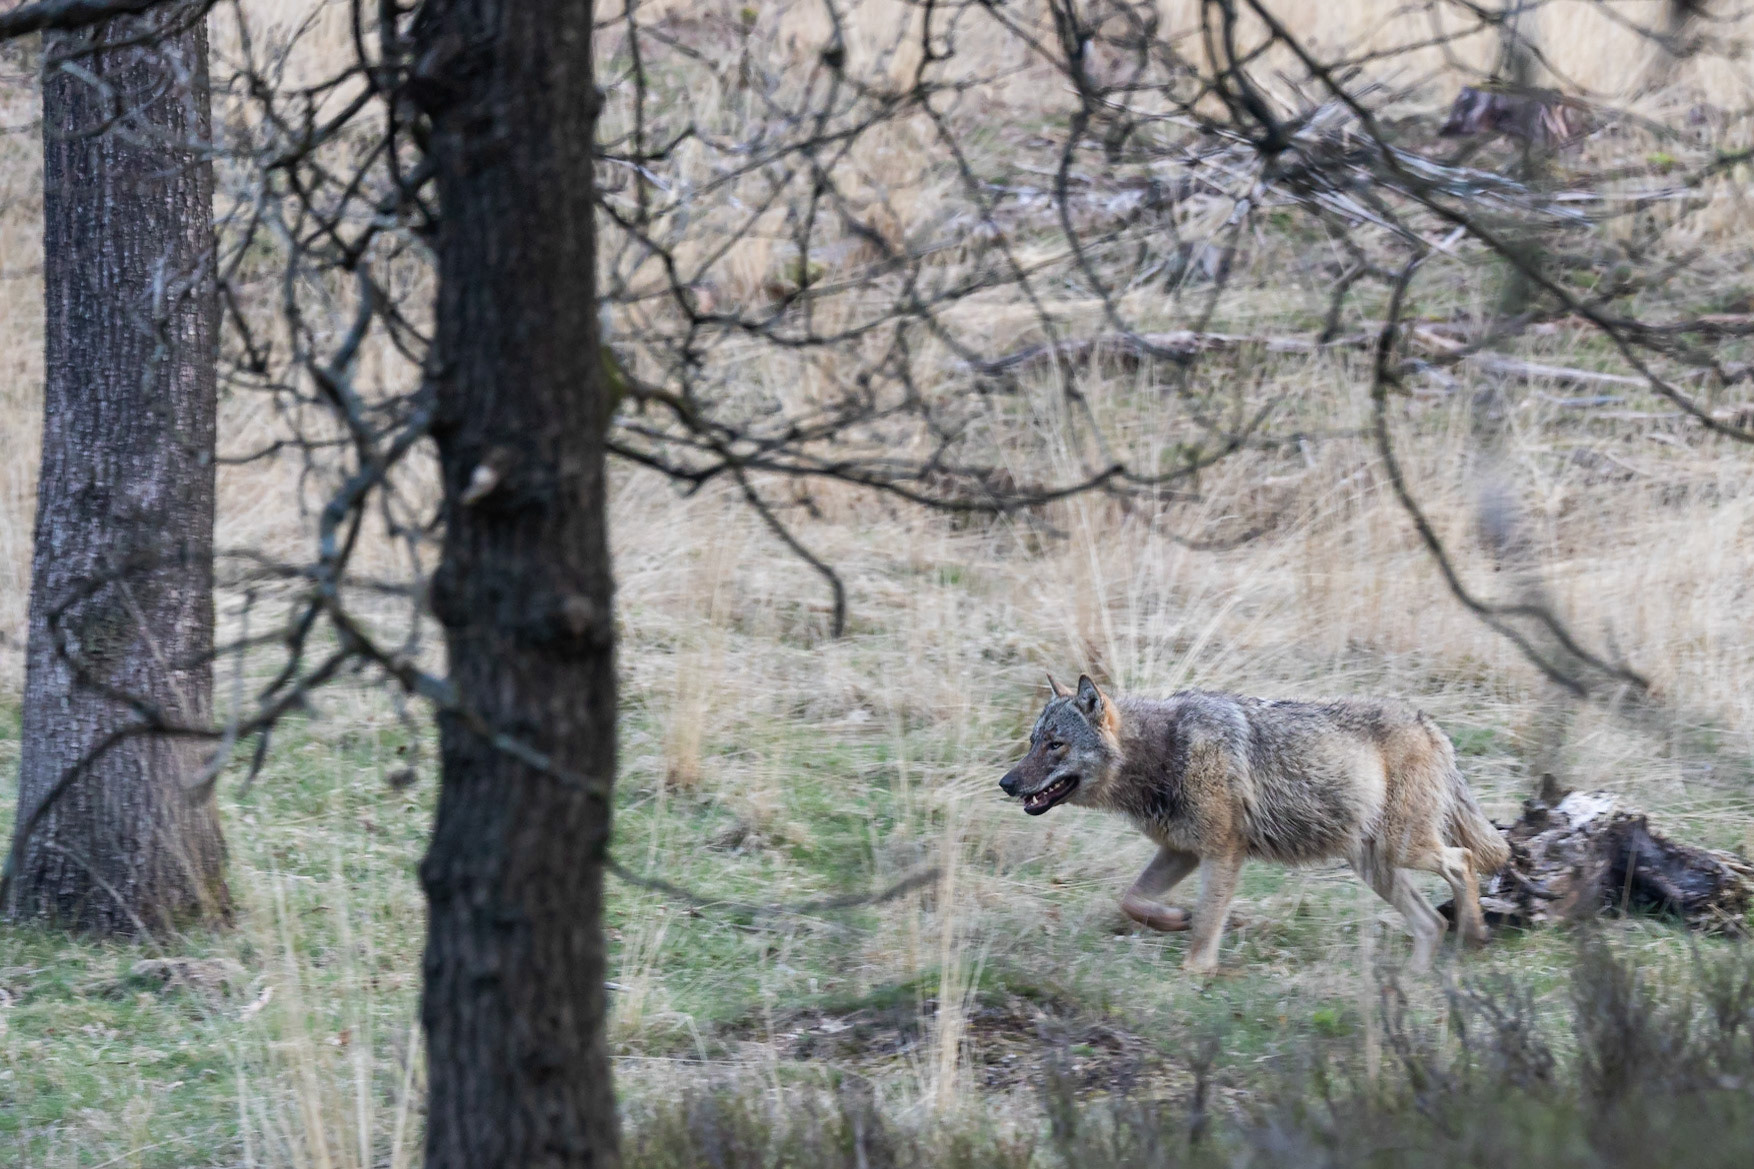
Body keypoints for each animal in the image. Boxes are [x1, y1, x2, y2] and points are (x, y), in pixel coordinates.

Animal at [999, 675, 1510, 973]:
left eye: (1056, 745)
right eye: (1033, 741)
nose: (1006, 783)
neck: (1166, 752)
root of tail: (1432, 726)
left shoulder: (1223, 852)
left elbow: (1208, 923)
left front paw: (1194, 974)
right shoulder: (1182, 851)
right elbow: (1132, 901)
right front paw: (1174, 919)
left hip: (1401, 850)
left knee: (1464, 861)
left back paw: (1473, 938)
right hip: (1376, 867)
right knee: (1431, 922)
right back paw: (1417, 984)